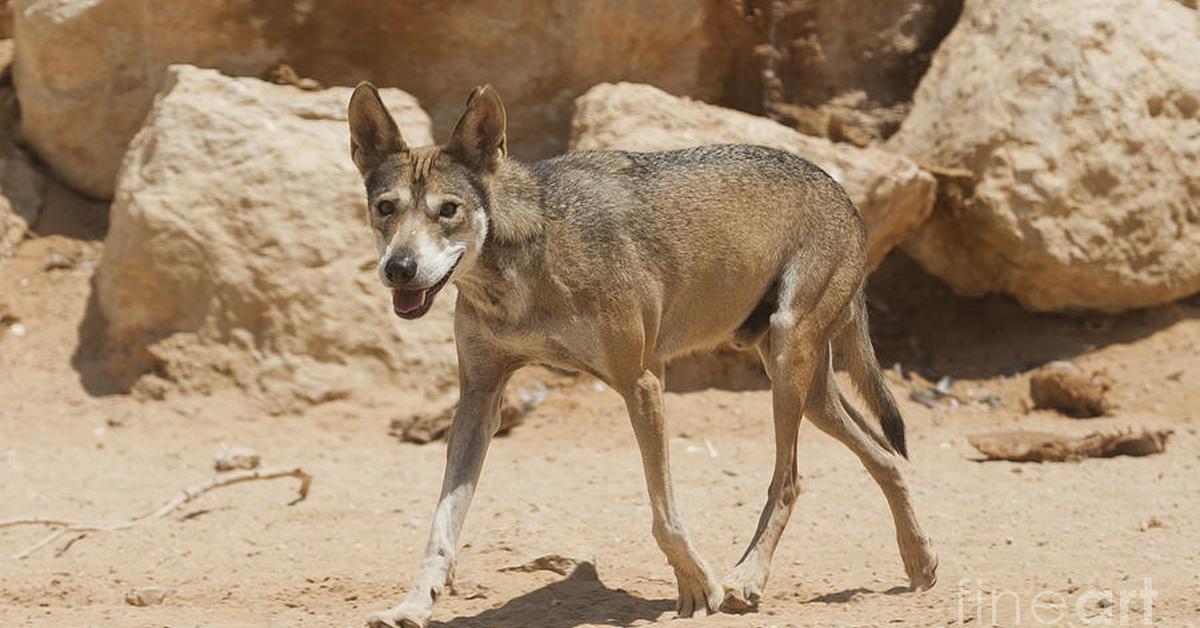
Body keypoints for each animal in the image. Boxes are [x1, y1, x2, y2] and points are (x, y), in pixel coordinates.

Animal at [345, 84, 936, 628]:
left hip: (790, 365)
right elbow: (441, 525)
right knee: (885, 456)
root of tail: (840, 190)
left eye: (448, 211)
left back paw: (747, 578)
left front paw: (700, 587)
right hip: (805, 388)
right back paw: (920, 560)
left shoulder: (643, 382)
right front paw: (413, 605)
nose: (399, 269)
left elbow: (664, 517)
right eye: (385, 209)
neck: (522, 265)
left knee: (790, 480)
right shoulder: (479, 399)